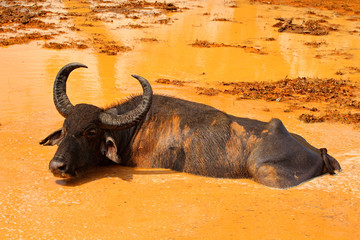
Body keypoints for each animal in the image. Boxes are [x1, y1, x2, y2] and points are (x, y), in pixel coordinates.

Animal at [40, 62, 342, 188]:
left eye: (91, 132)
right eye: (65, 128)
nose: (57, 166)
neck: (132, 131)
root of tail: (319, 153)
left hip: (266, 173)